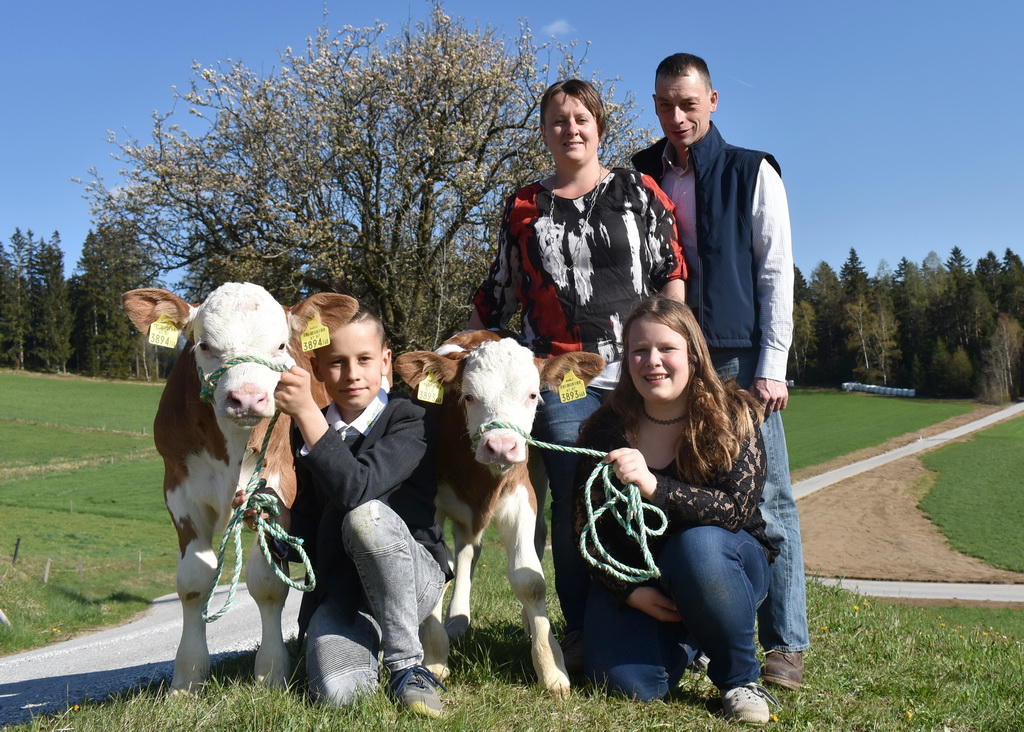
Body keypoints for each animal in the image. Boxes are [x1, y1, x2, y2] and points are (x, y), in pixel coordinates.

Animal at [123, 282, 358, 692]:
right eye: (203, 345)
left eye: (281, 345)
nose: (247, 398)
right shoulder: (179, 491)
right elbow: (194, 581)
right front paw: (188, 676)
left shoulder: (278, 488)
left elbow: (267, 582)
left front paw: (271, 670)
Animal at [391, 333, 598, 700]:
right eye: (468, 396)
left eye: (532, 395)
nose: (501, 446)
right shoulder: (426, 504)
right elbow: (436, 566)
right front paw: (435, 657)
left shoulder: (521, 497)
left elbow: (530, 580)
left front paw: (551, 669)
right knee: (465, 553)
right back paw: (457, 620)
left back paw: (527, 623)